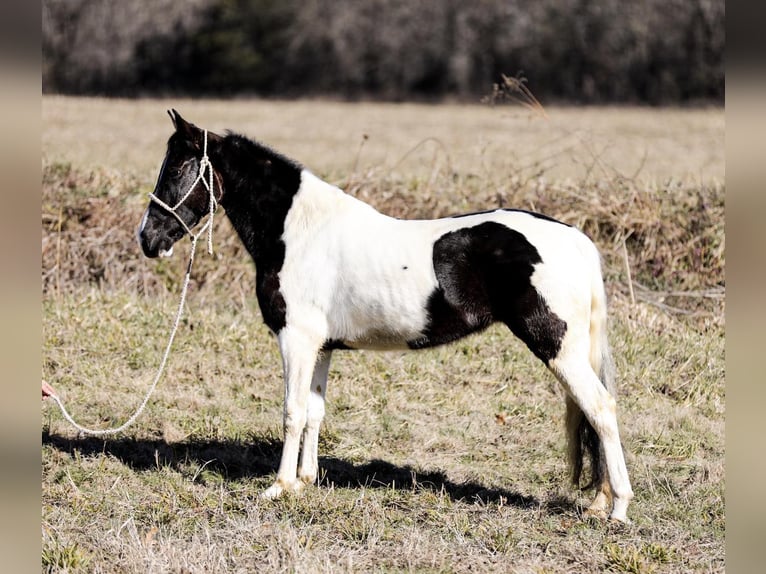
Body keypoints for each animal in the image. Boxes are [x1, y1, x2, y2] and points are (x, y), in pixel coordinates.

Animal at [138, 110, 636, 524]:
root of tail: (577, 241)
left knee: (601, 409)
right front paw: (305, 482)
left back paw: (618, 510)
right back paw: (598, 503)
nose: (148, 238)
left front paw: (279, 487)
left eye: (178, 168)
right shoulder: (321, 346)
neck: (299, 231)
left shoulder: (296, 339)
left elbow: (292, 411)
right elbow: (315, 412)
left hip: (558, 349)